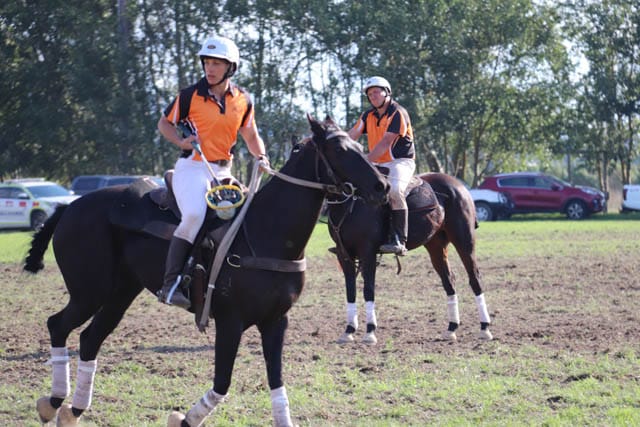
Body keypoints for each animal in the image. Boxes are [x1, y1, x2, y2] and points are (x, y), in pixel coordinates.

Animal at [23, 116, 389, 427]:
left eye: (358, 145)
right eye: (340, 150)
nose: (382, 186)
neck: (266, 232)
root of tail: (71, 206)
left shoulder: (276, 321)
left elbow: (276, 383)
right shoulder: (230, 321)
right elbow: (222, 382)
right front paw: (184, 419)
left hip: (120, 292)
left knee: (89, 338)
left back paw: (73, 409)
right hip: (89, 290)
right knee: (58, 325)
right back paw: (53, 403)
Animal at [327, 172, 493, 345]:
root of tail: (459, 184)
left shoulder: (368, 252)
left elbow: (368, 289)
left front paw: (370, 332)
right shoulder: (343, 254)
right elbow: (350, 290)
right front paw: (349, 330)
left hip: (464, 240)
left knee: (474, 277)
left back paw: (484, 327)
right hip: (435, 245)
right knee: (449, 280)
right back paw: (452, 327)